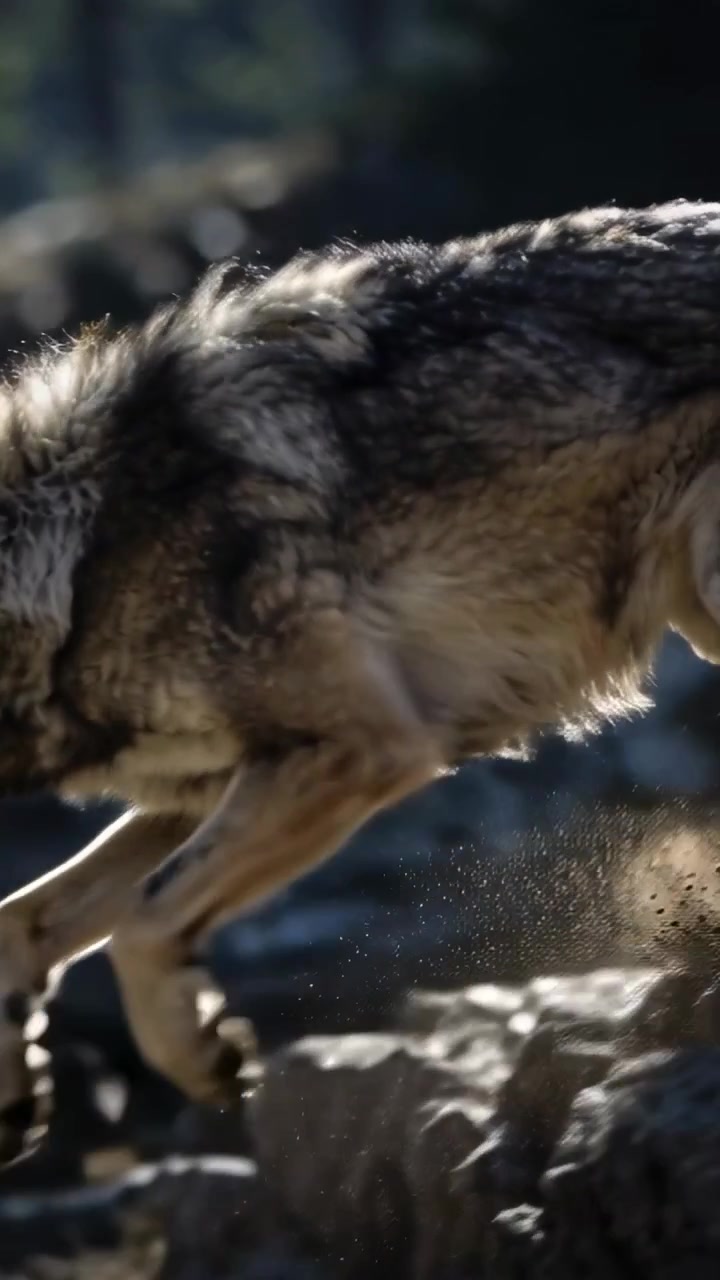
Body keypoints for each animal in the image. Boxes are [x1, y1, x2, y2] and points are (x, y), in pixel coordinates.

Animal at [0, 198, 719, 1160]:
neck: (80, 548)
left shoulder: (359, 749)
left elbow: (142, 926)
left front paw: (201, 1054)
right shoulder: (203, 786)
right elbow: (24, 920)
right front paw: (18, 1089)